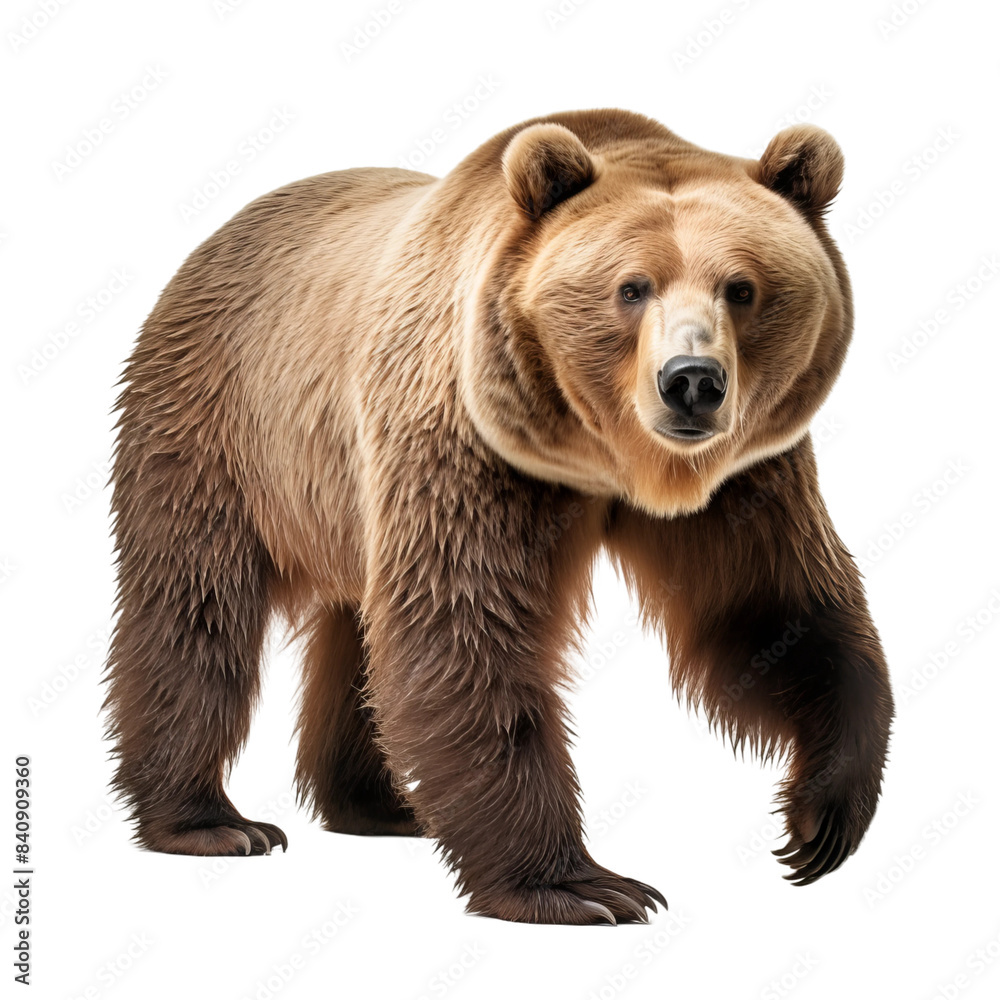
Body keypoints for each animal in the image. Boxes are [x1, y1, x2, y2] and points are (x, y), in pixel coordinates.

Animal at [104, 108, 893, 925]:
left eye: (741, 287)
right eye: (632, 287)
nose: (692, 382)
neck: (605, 458)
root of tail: (218, 236)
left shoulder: (745, 481)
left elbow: (768, 610)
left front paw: (821, 817)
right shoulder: (467, 443)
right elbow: (466, 632)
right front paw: (581, 884)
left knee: (359, 633)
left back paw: (379, 804)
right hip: (220, 424)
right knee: (196, 606)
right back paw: (210, 820)